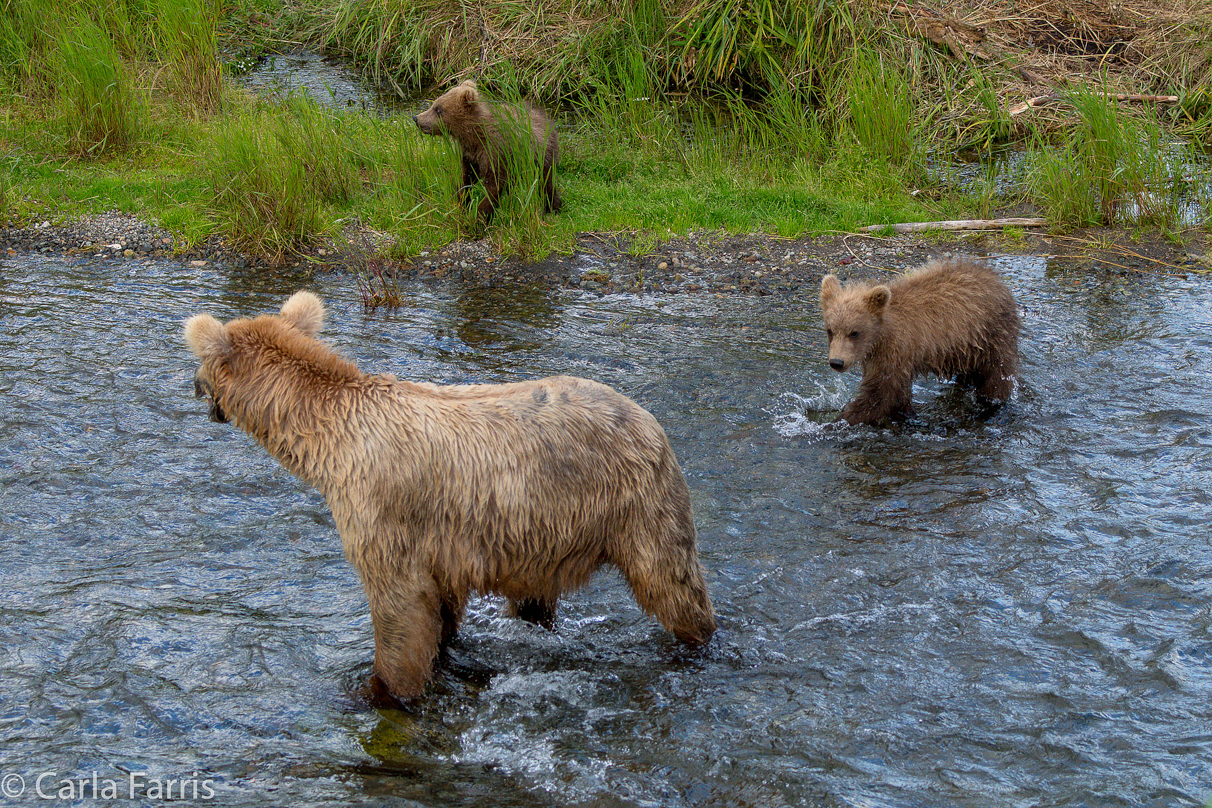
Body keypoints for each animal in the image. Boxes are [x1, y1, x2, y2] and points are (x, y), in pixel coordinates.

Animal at [184, 290, 712, 702]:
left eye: (200, 367)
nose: (194, 390)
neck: (331, 442)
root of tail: (648, 418)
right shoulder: (444, 544)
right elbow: (440, 611)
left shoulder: (381, 511)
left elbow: (400, 609)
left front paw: (381, 690)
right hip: (550, 529)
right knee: (538, 599)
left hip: (635, 502)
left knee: (672, 583)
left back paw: (695, 644)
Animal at [414, 79, 559, 224]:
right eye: (435, 104)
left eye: (438, 109)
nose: (416, 118)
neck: (474, 134)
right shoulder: (471, 154)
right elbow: (466, 178)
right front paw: (463, 202)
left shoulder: (496, 151)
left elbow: (493, 185)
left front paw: (480, 217)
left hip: (541, 154)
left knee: (545, 181)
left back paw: (552, 207)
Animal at [819, 259, 1018, 426]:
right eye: (830, 330)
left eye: (854, 333)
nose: (837, 362)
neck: (880, 336)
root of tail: (995, 278)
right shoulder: (882, 358)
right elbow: (896, 396)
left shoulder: (896, 353)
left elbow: (879, 396)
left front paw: (838, 421)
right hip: (966, 347)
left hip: (991, 335)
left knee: (997, 375)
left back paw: (991, 404)